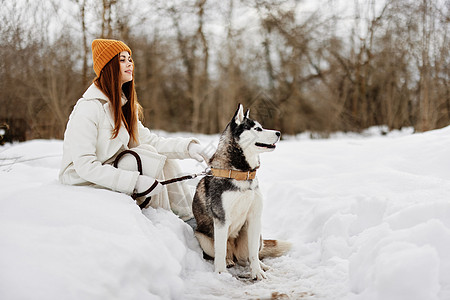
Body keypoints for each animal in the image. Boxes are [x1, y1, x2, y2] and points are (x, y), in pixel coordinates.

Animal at [192, 104, 290, 280]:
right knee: (224, 252)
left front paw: (257, 272)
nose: (279, 133)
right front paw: (221, 273)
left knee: (248, 257)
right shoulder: (221, 219)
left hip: (256, 236)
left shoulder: (254, 217)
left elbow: (253, 255)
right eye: (257, 128)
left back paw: (261, 266)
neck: (241, 174)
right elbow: (220, 251)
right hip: (203, 238)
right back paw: (228, 261)